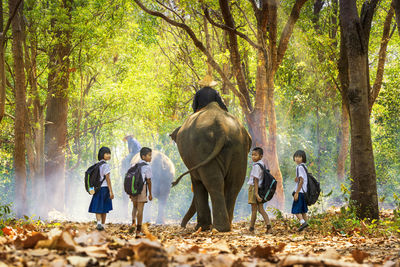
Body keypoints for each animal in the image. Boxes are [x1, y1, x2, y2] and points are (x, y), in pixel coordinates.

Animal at [170, 102, 252, 232]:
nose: (182, 225)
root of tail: (221, 128)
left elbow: (197, 182)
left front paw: (200, 227)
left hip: (203, 149)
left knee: (213, 182)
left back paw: (218, 228)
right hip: (238, 149)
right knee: (234, 183)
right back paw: (226, 227)